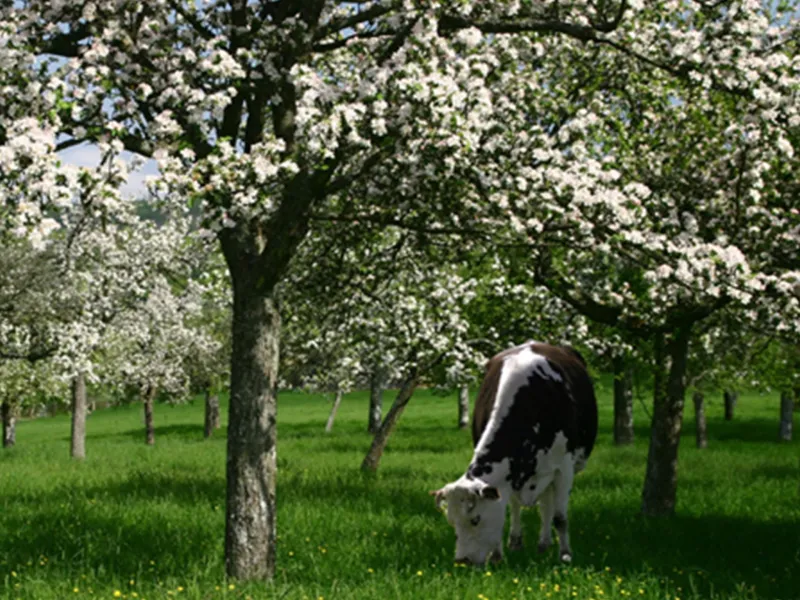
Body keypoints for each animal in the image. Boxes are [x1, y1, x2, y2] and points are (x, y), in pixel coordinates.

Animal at [431, 341, 598, 566]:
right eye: (452, 521)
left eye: (475, 519)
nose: (462, 560)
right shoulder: (506, 478)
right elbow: (509, 509)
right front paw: (498, 555)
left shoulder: (564, 468)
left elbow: (560, 518)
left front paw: (565, 555)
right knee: (532, 505)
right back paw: (528, 542)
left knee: (547, 507)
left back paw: (545, 543)